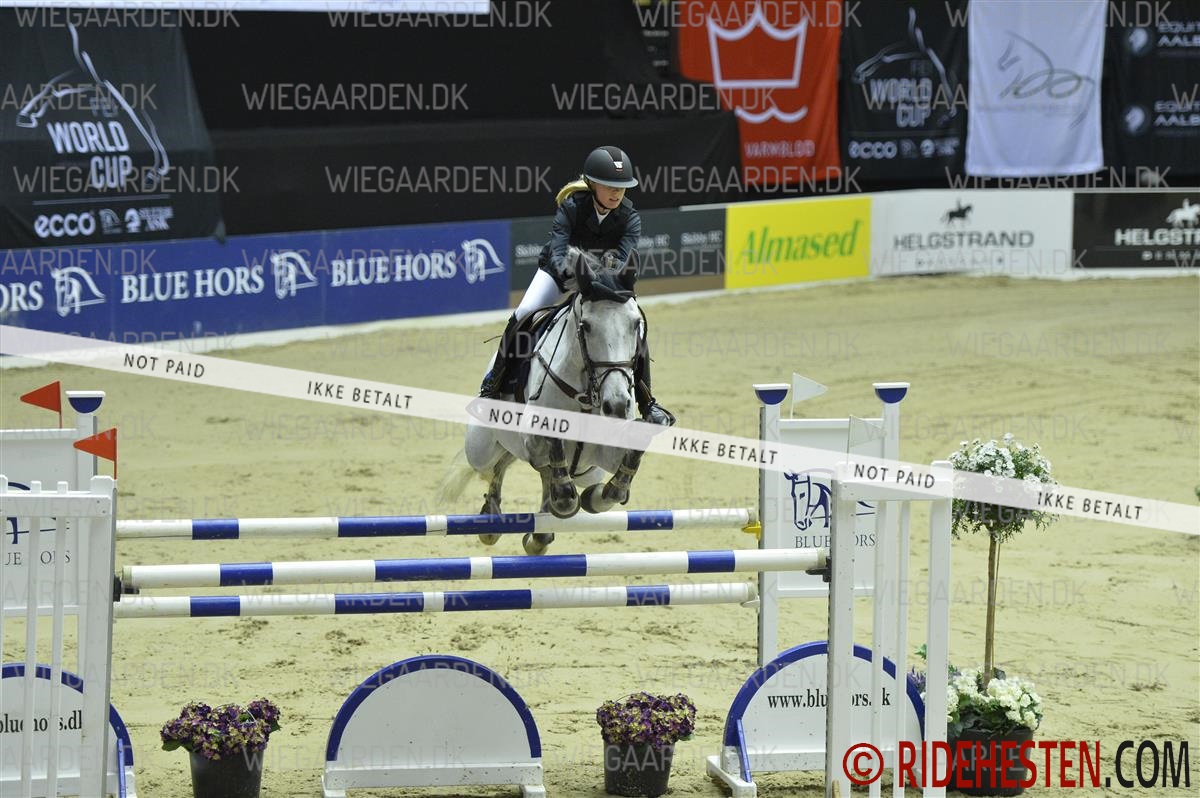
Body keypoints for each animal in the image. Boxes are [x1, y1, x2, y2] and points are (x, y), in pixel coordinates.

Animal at [448, 252, 649, 555]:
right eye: (586, 326)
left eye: (636, 324)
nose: (616, 406)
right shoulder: (533, 442)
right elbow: (552, 462)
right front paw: (564, 500)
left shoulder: (606, 455)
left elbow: (615, 487)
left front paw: (591, 499)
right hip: (480, 448)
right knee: (494, 466)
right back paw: (494, 520)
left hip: (588, 471)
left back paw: (540, 532)